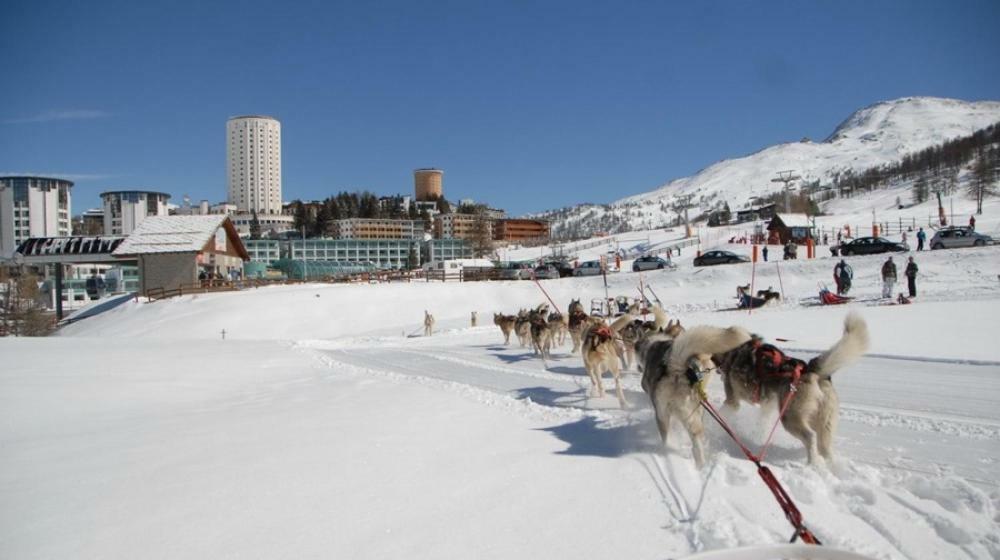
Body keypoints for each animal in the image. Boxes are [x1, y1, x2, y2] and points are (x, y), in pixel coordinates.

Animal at [640, 322, 752, 466]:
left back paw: (666, 451)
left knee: (667, 437)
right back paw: (700, 463)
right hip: (696, 411)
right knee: (697, 440)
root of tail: (676, 367)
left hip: (662, 415)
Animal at [716, 312, 872, 466]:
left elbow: (722, 413)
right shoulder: (767, 405)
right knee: (824, 447)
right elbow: (762, 422)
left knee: (810, 437)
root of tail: (810, 370)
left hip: (790, 417)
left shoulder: (732, 402)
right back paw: (829, 465)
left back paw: (812, 463)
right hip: (824, 421)